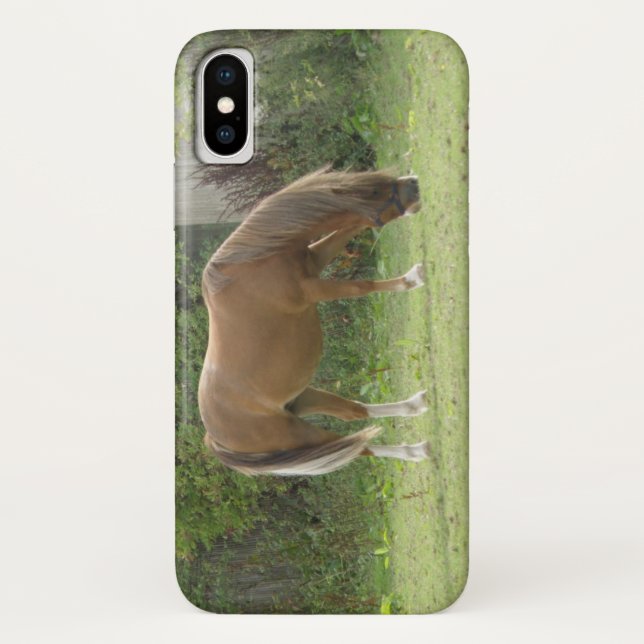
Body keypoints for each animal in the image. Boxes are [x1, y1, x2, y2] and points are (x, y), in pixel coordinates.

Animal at [199, 168, 430, 476]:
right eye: (373, 192)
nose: (414, 186)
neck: (254, 261)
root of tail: (215, 439)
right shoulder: (312, 289)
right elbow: (362, 287)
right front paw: (414, 278)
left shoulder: (314, 258)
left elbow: (345, 232)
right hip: (301, 436)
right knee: (359, 448)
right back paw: (417, 451)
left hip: (307, 398)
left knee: (354, 412)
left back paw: (416, 406)